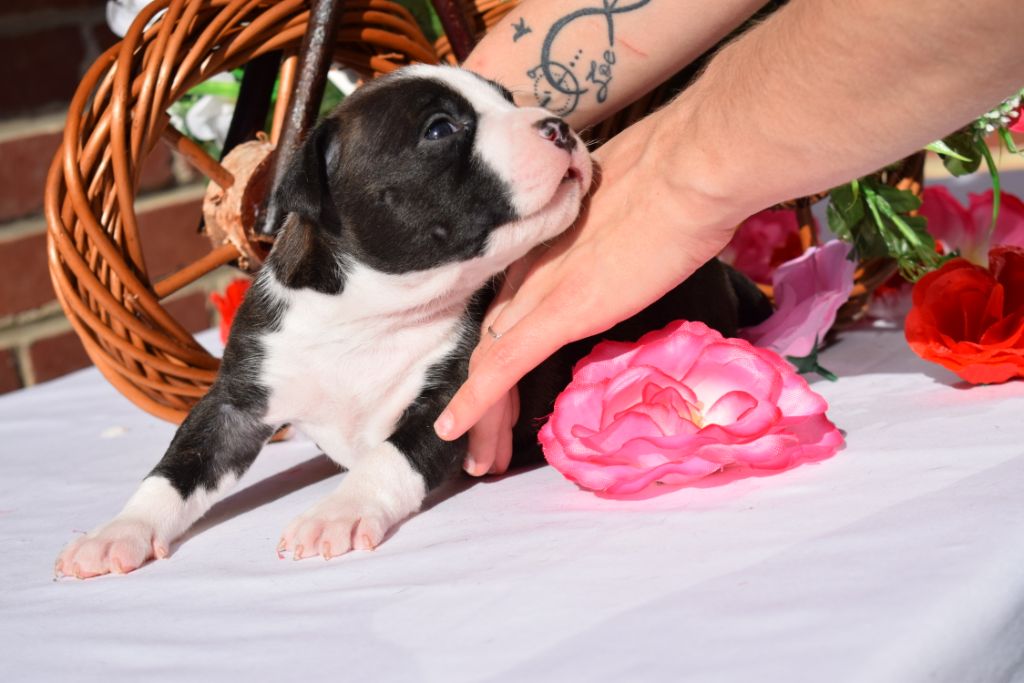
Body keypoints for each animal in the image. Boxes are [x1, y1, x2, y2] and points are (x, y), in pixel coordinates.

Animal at [55, 65, 770, 578]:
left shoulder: (456, 399)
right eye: (440, 129)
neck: (368, 313)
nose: (558, 127)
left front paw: (336, 512)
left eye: (509, 102)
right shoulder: (238, 399)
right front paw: (116, 532)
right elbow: (177, 466)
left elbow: (386, 459)